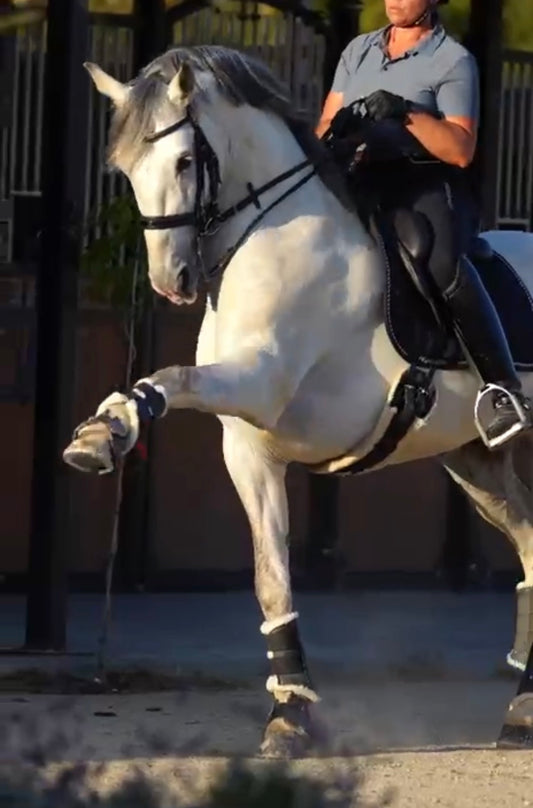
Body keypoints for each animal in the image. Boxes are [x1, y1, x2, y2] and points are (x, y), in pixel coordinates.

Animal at [63, 45, 533, 757]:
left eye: (184, 161)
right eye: (126, 169)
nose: (172, 281)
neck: (271, 235)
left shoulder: (260, 381)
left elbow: (170, 378)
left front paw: (106, 432)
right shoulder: (249, 448)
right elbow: (270, 579)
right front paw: (290, 716)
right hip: (476, 462)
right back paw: (522, 713)